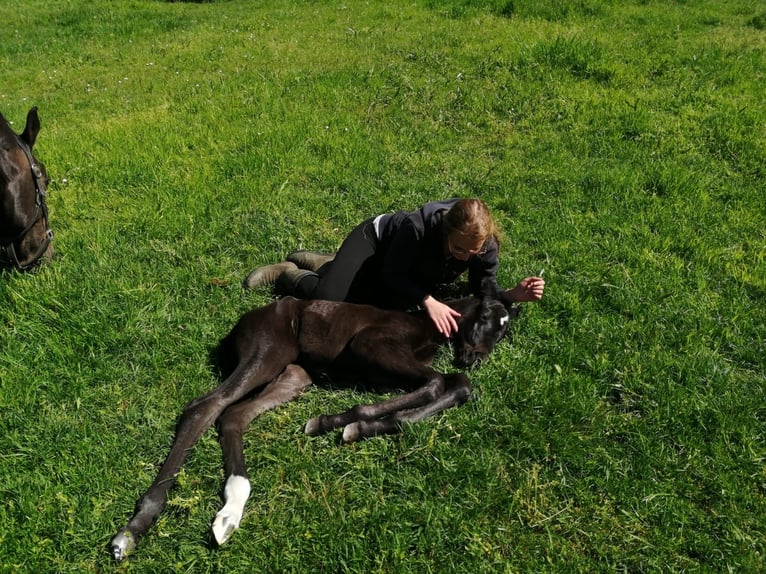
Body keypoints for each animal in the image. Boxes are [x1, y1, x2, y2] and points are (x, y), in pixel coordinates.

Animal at [110, 282, 520, 560]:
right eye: (485, 317)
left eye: (504, 330)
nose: (475, 357)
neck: (425, 326)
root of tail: (245, 320)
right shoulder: (371, 345)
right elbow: (438, 383)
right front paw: (348, 422)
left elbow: (457, 385)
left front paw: (343, 423)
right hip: (267, 352)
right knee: (206, 405)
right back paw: (134, 528)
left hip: (294, 374)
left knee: (233, 415)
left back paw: (231, 509)